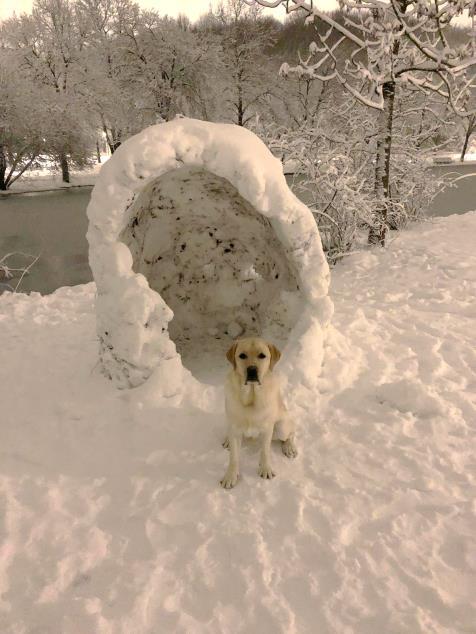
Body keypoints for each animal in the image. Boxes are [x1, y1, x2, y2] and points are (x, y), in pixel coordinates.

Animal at [220, 336, 296, 488]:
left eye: (262, 355)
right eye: (242, 355)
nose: (252, 369)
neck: (251, 397)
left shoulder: (267, 429)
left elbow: (265, 452)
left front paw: (265, 469)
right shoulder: (235, 430)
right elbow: (234, 457)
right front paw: (230, 476)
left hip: (281, 426)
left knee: (291, 434)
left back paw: (289, 448)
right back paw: (227, 440)